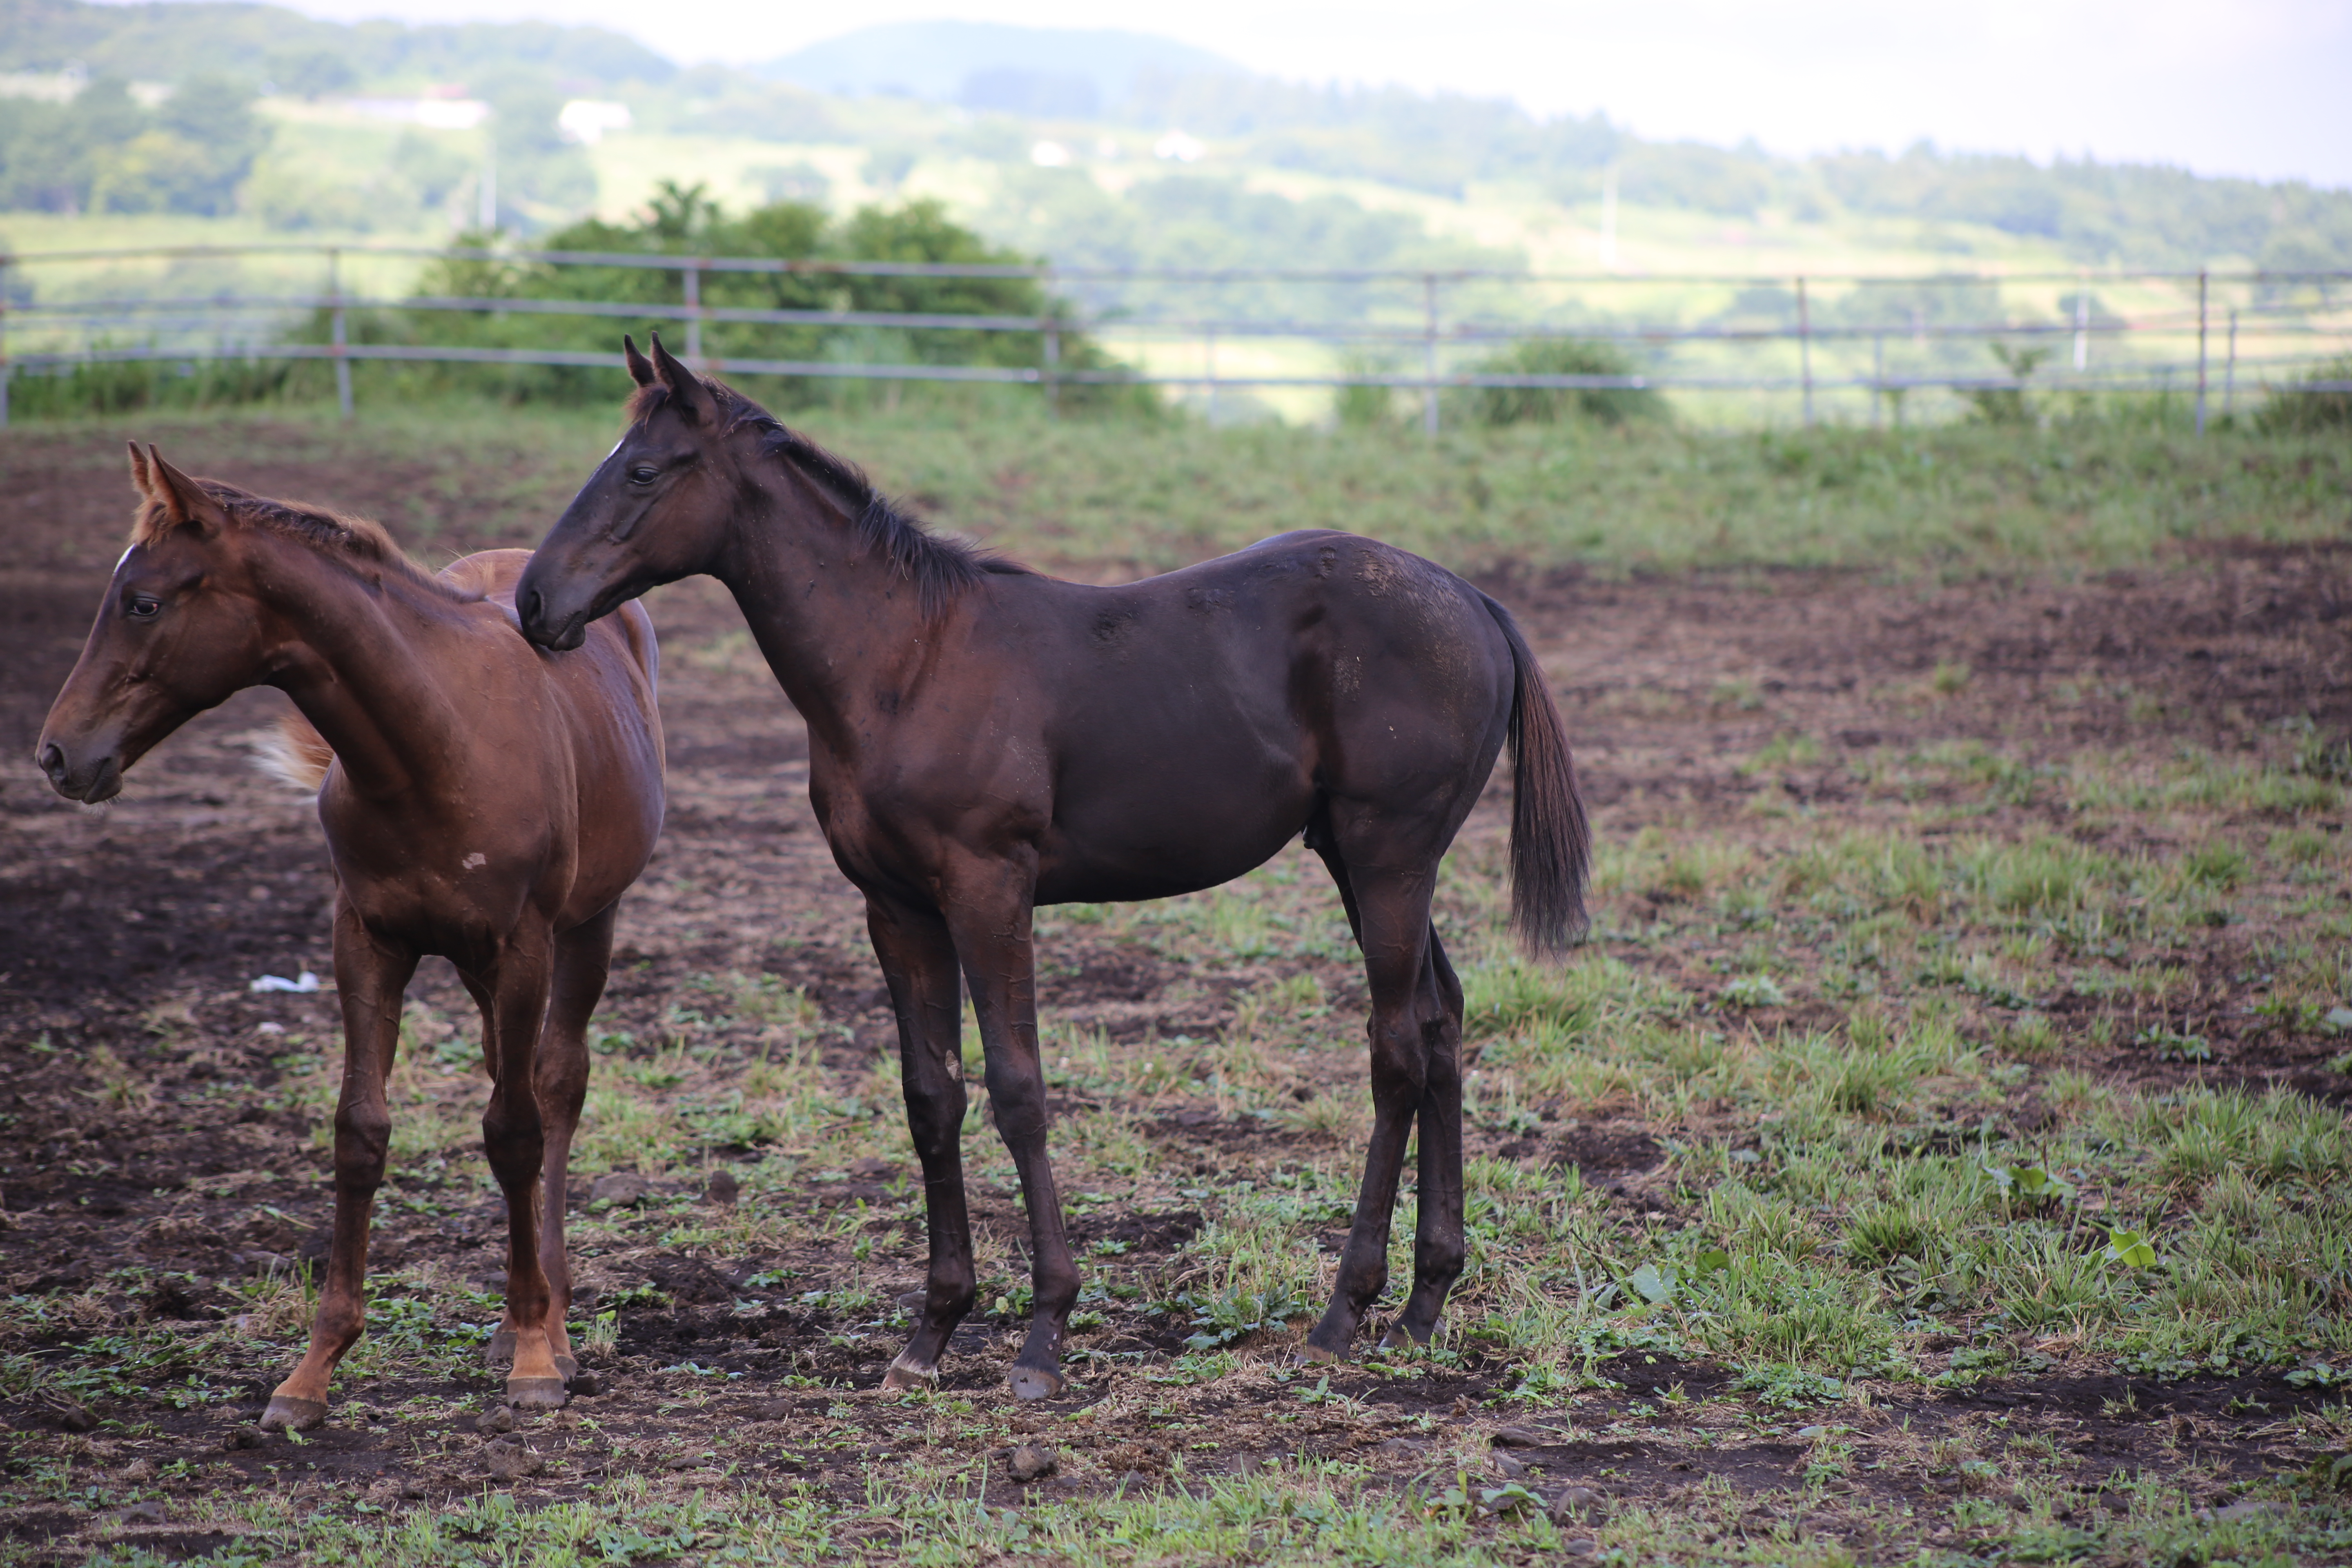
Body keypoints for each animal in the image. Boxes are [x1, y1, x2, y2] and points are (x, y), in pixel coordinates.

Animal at [37, 446, 668, 1429]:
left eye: (142, 602)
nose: (60, 756)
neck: (433, 745)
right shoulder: (366, 942)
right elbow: (360, 1134)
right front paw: (312, 1373)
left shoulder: (523, 943)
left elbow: (517, 1130)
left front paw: (536, 1358)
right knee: (511, 1071)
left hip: (585, 925)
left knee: (556, 1085)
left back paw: (552, 1326)